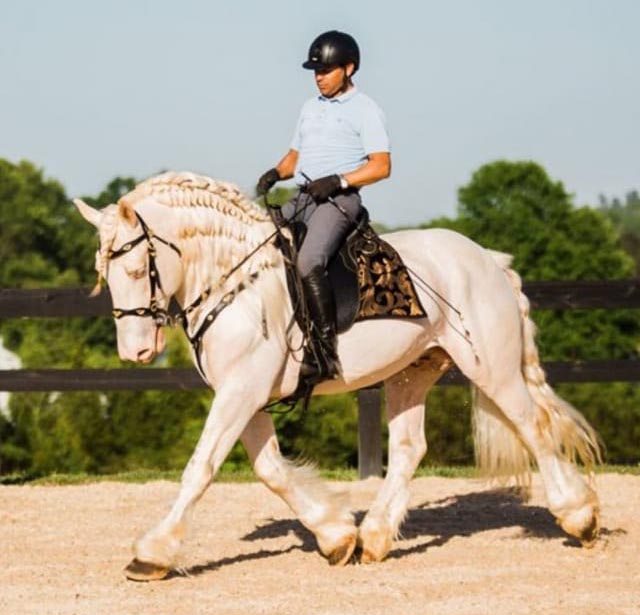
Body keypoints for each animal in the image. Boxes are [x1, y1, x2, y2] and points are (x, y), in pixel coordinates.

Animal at [74, 171, 600, 580]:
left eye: (138, 269)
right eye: (105, 275)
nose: (136, 352)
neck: (237, 282)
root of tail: (488, 259)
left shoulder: (240, 392)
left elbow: (200, 469)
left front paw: (151, 554)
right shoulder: (244, 394)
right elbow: (271, 471)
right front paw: (335, 536)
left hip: (491, 368)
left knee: (533, 426)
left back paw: (580, 518)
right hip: (412, 373)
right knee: (409, 448)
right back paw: (374, 538)